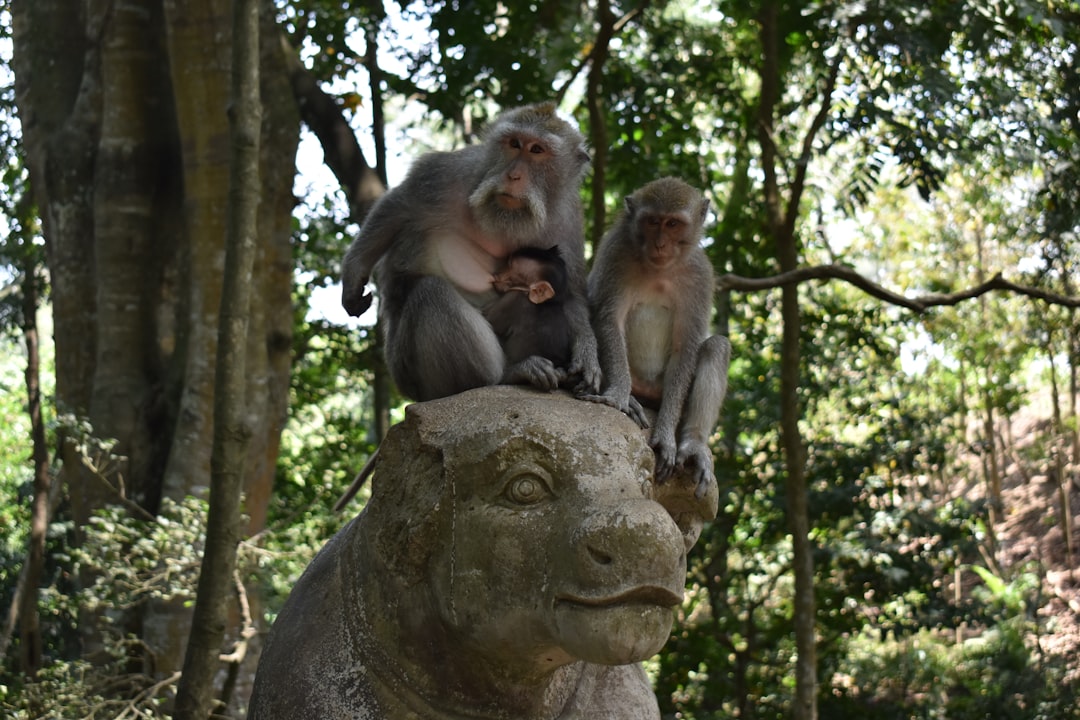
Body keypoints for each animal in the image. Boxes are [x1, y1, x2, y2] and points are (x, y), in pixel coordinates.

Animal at [340, 103, 600, 402]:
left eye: (537, 149)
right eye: (514, 144)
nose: (513, 175)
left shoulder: (567, 217)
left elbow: (571, 292)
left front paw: (587, 356)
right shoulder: (454, 172)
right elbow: (399, 205)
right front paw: (353, 275)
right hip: (409, 374)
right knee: (431, 293)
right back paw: (504, 376)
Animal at [584, 177, 731, 499]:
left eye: (673, 224)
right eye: (652, 222)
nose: (660, 244)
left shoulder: (701, 275)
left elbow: (686, 345)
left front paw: (665, 437)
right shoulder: (616, 253)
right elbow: (608, 319)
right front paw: (617, 396)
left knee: (716, 347)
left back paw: (694, 444)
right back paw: (630, 397)